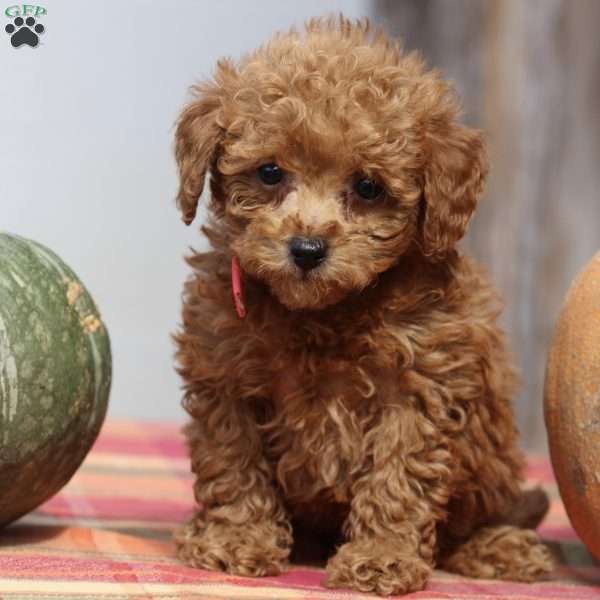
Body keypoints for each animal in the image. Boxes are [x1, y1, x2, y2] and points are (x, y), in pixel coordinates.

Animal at [171, 17, 556, 596]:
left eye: (368, 186)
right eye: (269, 173)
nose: (307, 249)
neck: (324, 313)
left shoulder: (418, 388)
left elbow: (397, 478)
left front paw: (381, 558)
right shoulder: (225, 376)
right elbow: (233, 462)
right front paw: (234, 539)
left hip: (492, 454)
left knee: (489, 511)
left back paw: (498, 547)